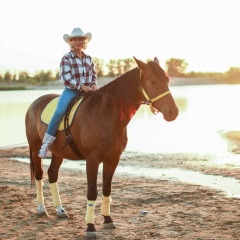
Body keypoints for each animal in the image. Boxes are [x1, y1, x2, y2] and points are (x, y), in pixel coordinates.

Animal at [24, 57, 178, 239]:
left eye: (167, 80)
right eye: (152, 81)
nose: (173, 112)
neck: (106, 115)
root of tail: (34, 103)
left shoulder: (113, 159)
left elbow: (106, 189)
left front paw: (107, 219)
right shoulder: (92, 160)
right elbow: (92, 192)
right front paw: (90, 227)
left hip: (58, 152)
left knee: (52, 174)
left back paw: (60, 210)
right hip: (35, 149)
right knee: (39, 175)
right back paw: (42, 208)